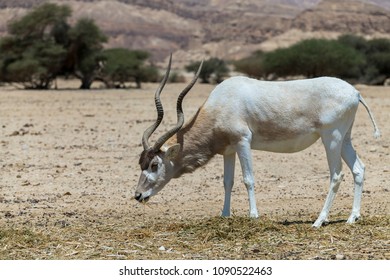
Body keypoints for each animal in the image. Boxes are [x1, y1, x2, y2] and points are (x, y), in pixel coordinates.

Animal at [135, 54, 380, 228]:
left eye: (155, 164)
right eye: (140, 163)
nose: (138, 195)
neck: (221, 103)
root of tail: (356, 93)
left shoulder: (243, 141)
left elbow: (248, 179)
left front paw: (253, 215)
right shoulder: (229, 150)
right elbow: (228, 182)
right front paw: (225, 215)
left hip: (331, 138)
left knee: (336, 175)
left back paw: (319, 221)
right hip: (344, 139)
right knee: (358, 169)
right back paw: (352, 217)